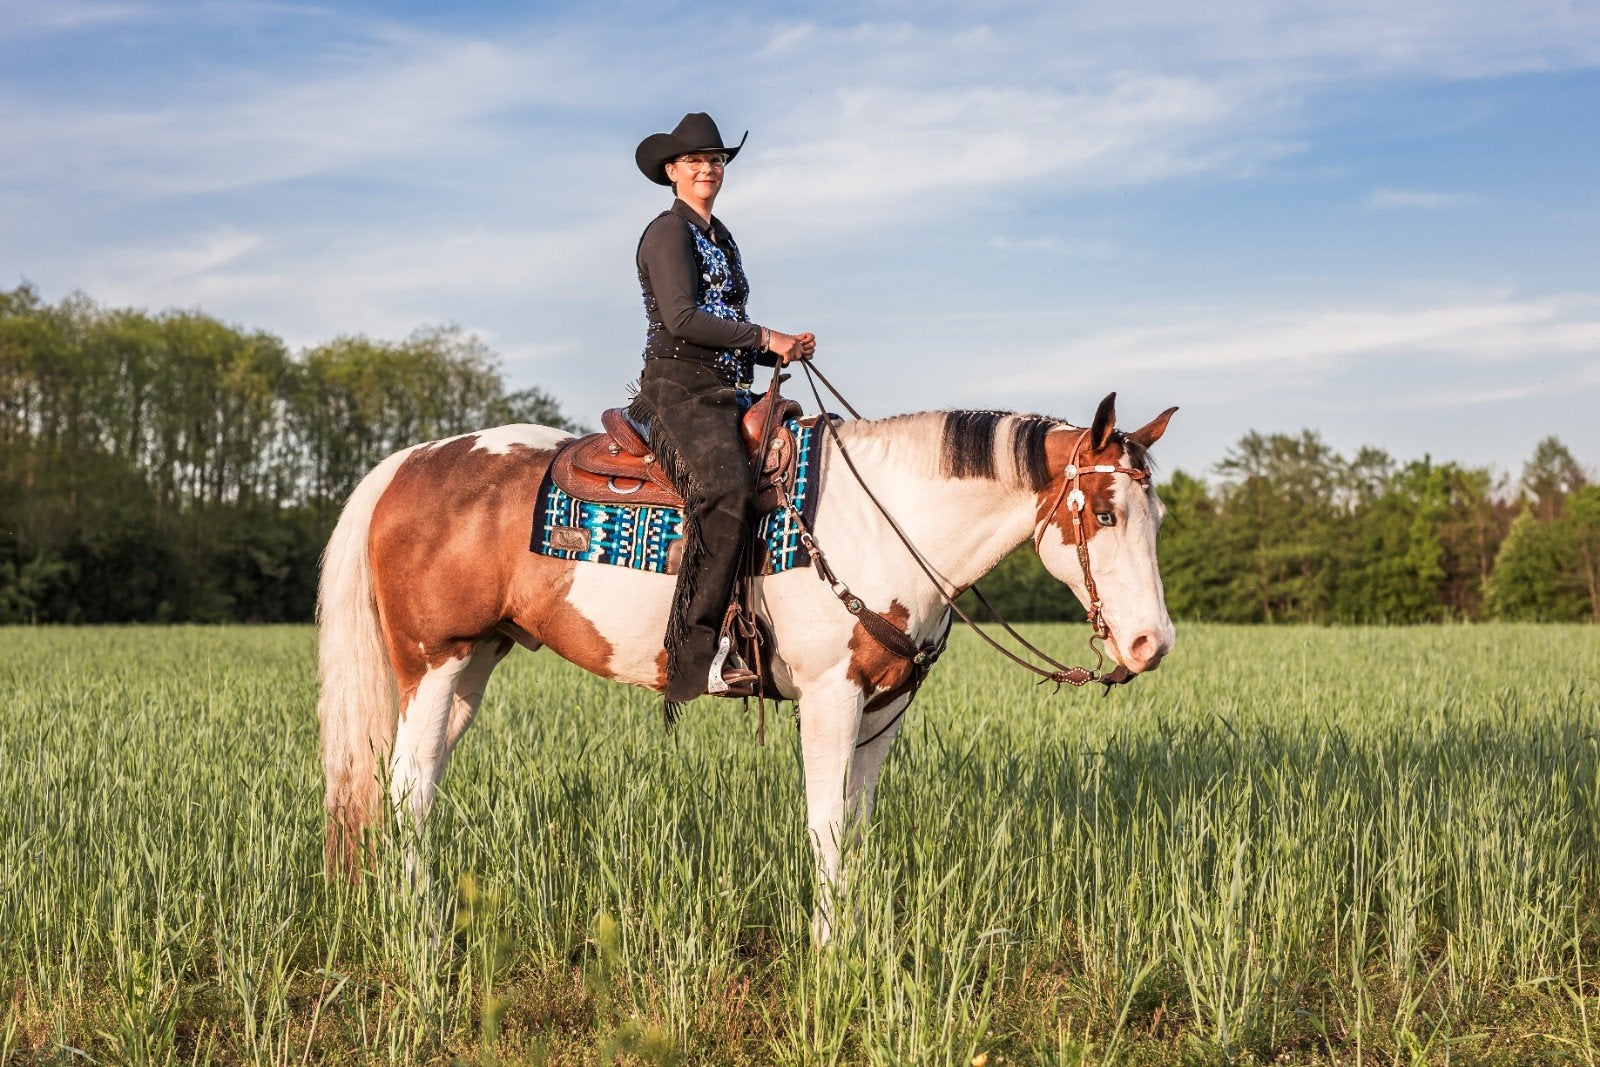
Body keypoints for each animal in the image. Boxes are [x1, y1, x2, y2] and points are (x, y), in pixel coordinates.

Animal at [317, 390, 1177, 940]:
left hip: (470, 667)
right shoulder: (831, 694)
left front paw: (856, 939)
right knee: (405, 788)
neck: (884, 522)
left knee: (417, 784)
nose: (1153, 645)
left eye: (1158, 514)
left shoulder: (885, 705)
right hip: (434, 661)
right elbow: (826, 823)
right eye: (1105, 513)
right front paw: (829, 955)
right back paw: (421, 934)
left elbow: (857, 823)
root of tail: (407, 461)